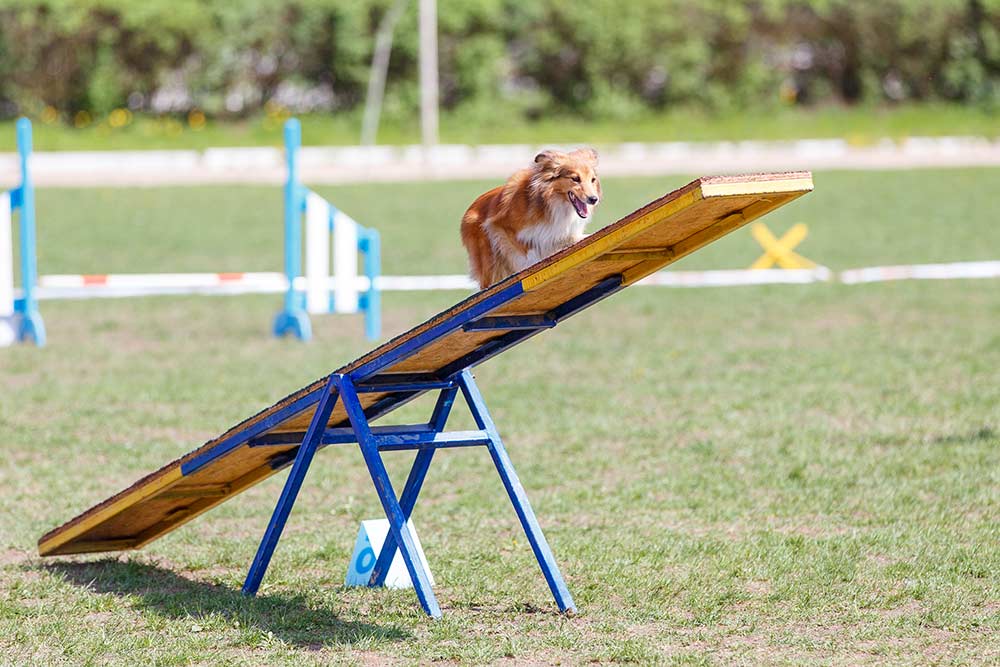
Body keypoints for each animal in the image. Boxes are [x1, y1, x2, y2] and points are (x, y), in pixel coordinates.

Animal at [460, 149, 600, 290]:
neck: (553, 202)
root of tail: (469, 210)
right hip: (489, 260)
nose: (594, 199)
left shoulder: (558, 235)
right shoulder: (501, 227)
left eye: (593, 179)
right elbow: (527, 251)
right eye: (575, 179)